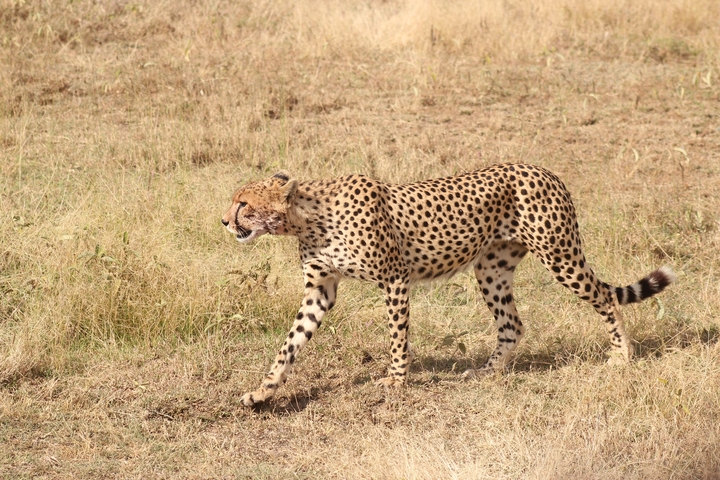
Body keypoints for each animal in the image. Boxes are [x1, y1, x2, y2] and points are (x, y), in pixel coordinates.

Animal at [222, 163, 675, 407]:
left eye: (243, 202)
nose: (224, 221)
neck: (306, 218)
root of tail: (543, 170)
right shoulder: (320, 291)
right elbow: (289, 344)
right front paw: (263, 392)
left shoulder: (394, 278)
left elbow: (397, 337)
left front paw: (396, 380)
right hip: (491, 269)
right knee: (512, 324)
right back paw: (487, 372)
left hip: (559, 255)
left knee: (604, 298)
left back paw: (621, 354)